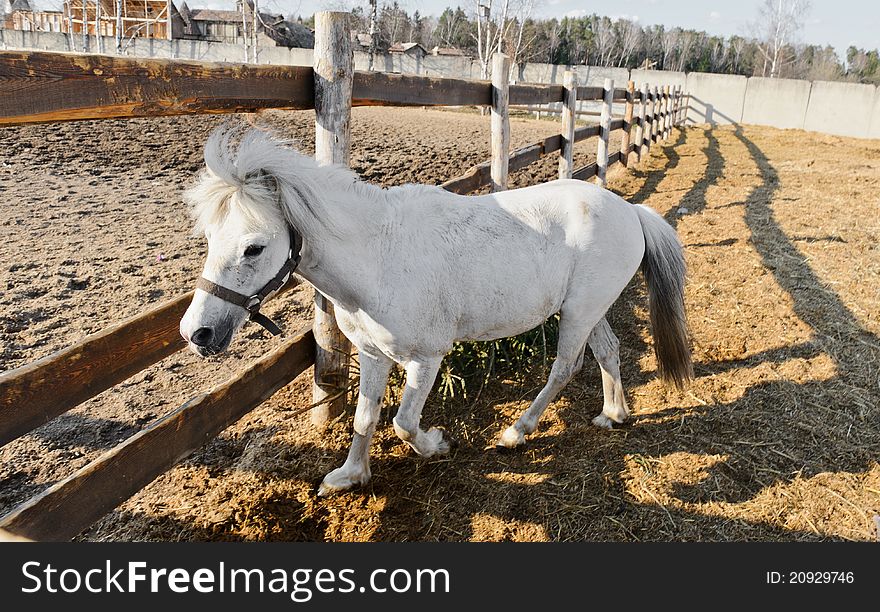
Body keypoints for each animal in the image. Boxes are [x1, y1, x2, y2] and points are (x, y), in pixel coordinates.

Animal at [180, 126, 696, 494]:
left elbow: (404, 424)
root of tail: (632, 212)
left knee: (565, 367)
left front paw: (437, 443)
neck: (378, 256)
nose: (197, 333)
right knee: (608, 350)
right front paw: (349, 476)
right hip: (588, 309)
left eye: (254, 248)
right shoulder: (372, 355)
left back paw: (516, 433)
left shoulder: (426, 359)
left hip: (577, 314)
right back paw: (613, 415)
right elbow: (365, 418)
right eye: (208, 238)